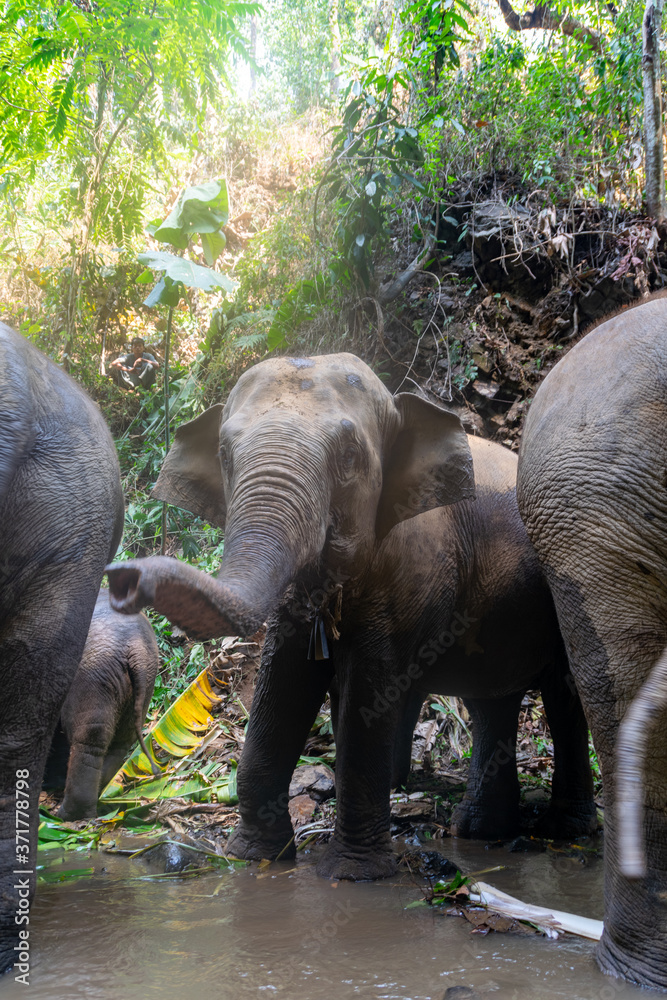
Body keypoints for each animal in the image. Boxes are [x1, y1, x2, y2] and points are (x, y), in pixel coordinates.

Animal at [43, 588, 159, 820]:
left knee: (89, 738)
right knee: (119, 742)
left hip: (94, 674)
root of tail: (137, 649)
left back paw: (68, 815)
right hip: (141, 684)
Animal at [106, 352, 595, 882]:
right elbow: (284, 685)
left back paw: (562, 832)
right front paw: (255, 859)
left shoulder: (412, 569)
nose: (121, 577)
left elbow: (367, 702)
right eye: (224, 454)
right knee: (491, 697)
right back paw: (480, 832)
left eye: (348, 458)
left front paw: (353, 875)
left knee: (564, 696)